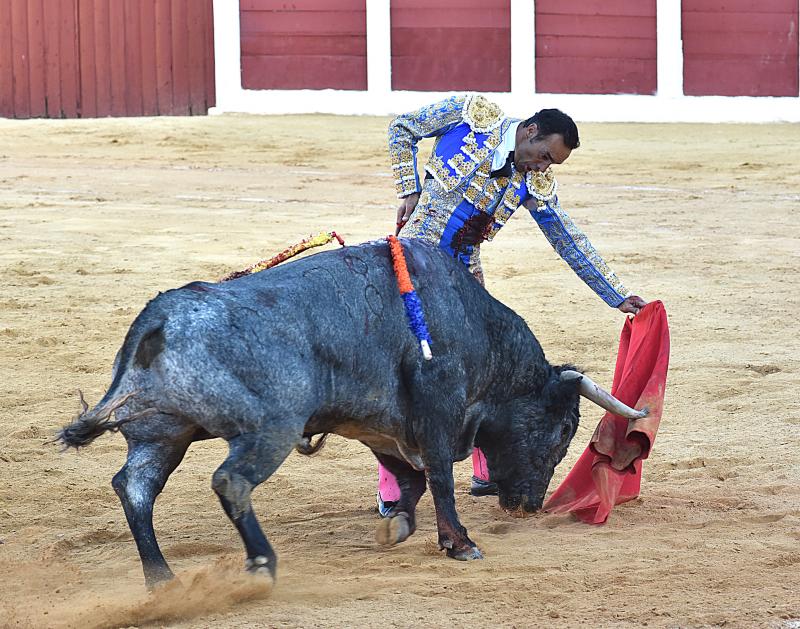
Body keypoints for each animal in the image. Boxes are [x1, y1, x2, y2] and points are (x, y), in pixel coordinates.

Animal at [57, 239, 644, 588]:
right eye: (564, 429)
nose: (529, 506)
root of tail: (160, 317)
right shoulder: (437, 408)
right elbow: (439, 476)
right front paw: (459, 543)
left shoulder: (382, 426)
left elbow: (411, 480)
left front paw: (398, 527)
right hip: (269, 430)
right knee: (230, 481)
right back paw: (261, 564)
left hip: (163, 436)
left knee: (135, 487)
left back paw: (163, 579)